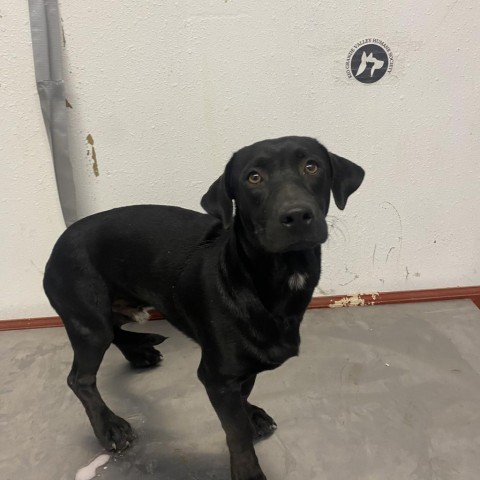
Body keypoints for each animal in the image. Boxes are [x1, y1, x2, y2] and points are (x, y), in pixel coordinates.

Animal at [44, 136, 364, 480]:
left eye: (311, 166)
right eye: (253, 177)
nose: (296, 215)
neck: (264, 278)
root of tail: (58, 242)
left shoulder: (235, 372)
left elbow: (244, 393)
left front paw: (250, 413)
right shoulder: (216, 375)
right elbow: (235, 431)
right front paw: (247, 469)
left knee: (115, 332)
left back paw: (139, 351)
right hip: (90, 323)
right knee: (81, 379)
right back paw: (109, 427)